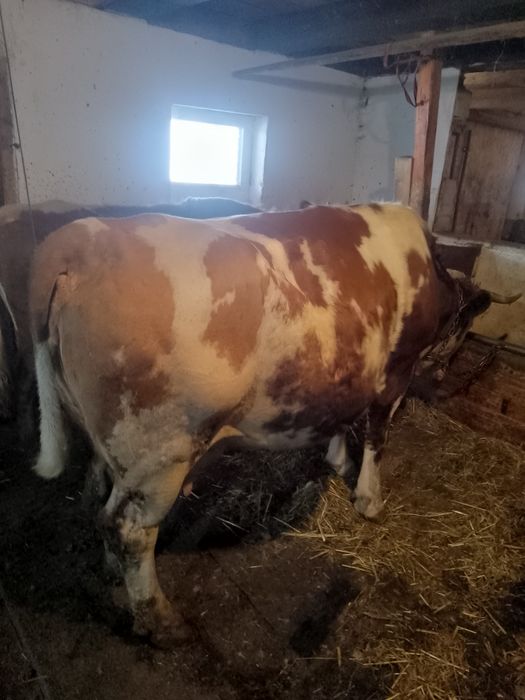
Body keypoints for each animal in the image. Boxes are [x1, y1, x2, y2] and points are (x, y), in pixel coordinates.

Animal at [29, 203, 511, 646]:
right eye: (463, 328)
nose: (444, 375)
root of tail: (78, 239)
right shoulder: (396, 372)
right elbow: (377, 438)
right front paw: (370, 500)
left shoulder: (345, 371)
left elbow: (340, 419)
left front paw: (338, 460)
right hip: (159, 452)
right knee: (130, 530)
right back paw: (163, 620)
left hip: (111, 441)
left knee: (99, 499)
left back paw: (117, 580)